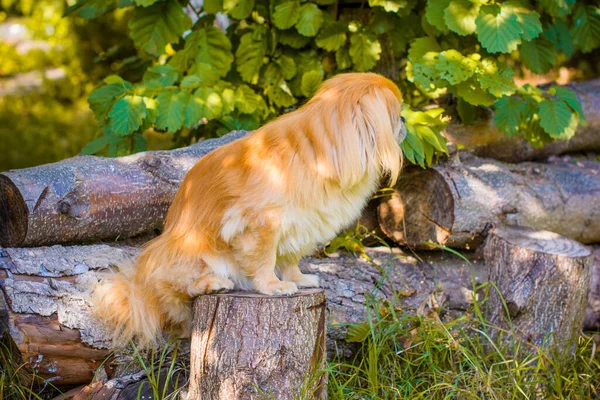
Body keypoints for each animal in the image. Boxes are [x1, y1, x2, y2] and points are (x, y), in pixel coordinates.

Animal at [92, 72, 404, 346]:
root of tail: (137, 285)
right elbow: (264, 260)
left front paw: (299, 280)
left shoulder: (299, 223)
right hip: (191, 252)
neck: (319, 155)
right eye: (396, 112)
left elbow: (289, 259)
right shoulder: (262, 223)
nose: (403, 119)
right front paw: (273, 286)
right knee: (173, 290)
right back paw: (211, 284)